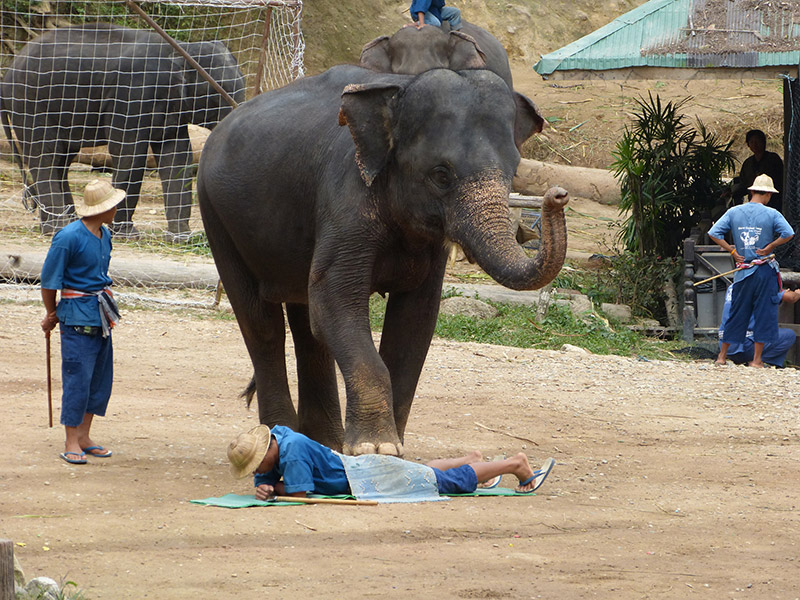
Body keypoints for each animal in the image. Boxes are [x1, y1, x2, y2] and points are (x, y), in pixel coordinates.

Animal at [0, 23, 244, 239]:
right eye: (220, 93)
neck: (182, 50)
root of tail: (8, 73)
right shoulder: (133, 94)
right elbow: (129, 152)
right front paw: (127, 235)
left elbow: (177, 157)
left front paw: (181, 237)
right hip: (30, 102)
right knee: (45, 156)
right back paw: (56, 228)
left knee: (61, 160)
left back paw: (66, 224)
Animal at [195, 64, 568, 454]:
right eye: (441, 175)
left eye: (514, 172)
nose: (558, 194)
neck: (398, 90)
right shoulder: (345, 198)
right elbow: (335, 301)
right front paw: (374, 448)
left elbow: (415, 321)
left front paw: (392, 450)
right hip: (216, 214)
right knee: (262, 323)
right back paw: (278, 440)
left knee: (307, 326)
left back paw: (324, 443)